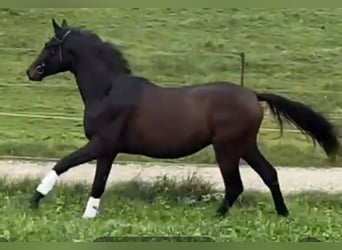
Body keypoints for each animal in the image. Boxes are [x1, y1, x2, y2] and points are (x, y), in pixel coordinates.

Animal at [24, 19, 340, 219]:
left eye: (50, 45)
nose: (31, 72)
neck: (108, 90)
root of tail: (253, 95)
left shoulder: (101, 144)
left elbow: (64, 164)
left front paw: (34, 200)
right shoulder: (108, 151)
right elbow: (98, 181)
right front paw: (88, 216)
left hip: (227, 148)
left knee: (235, 185)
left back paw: (216, 217)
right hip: (246, 146)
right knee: (269, 174)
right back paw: (283, 214)